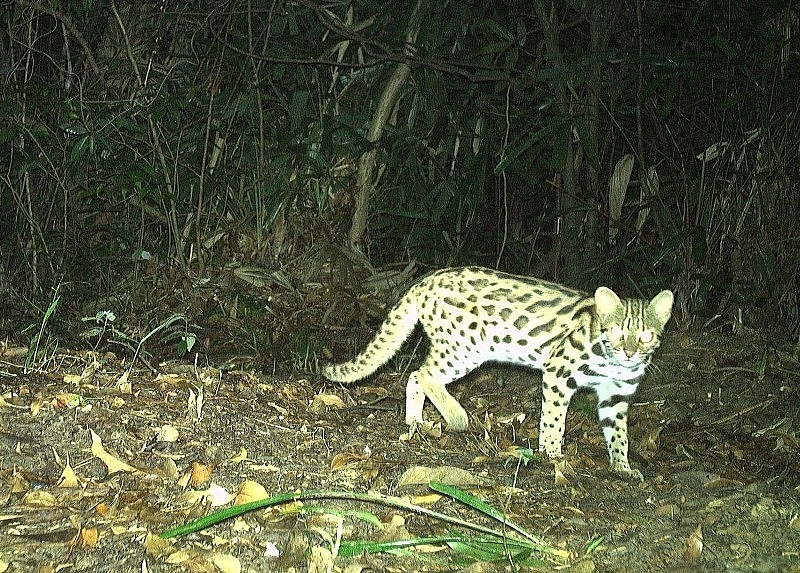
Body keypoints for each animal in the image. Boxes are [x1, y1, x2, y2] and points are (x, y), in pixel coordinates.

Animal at [322, 266, 672, 476]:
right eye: (615, 332)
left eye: (645, 336)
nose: (629, 352)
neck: (613, 363)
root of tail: (427, 279)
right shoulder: (558, 371)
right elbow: (554, 419)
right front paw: (551, 453)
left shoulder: (617, 395)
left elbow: (619, 433)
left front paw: (622, 466)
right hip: (464, 347)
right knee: (424, 374)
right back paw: (456, 417)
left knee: (415, 375)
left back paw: (416, 420)